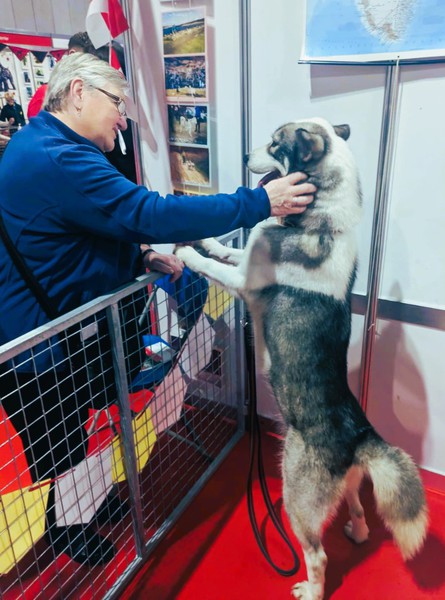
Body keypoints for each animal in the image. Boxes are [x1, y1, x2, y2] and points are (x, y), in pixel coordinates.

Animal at [174, 117, 428, 599]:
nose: (243, 156)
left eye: (275, 144)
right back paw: (356, 532)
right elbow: (226, 246)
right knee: (359, 512)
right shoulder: (245, 254)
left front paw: (183, 251)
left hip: (296, 497)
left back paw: (310, 588)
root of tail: (359, 436)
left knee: (317, 554)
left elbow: (213, 266)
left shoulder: (242, 281)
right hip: (347, 487)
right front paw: (201, 235)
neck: (321, 216)